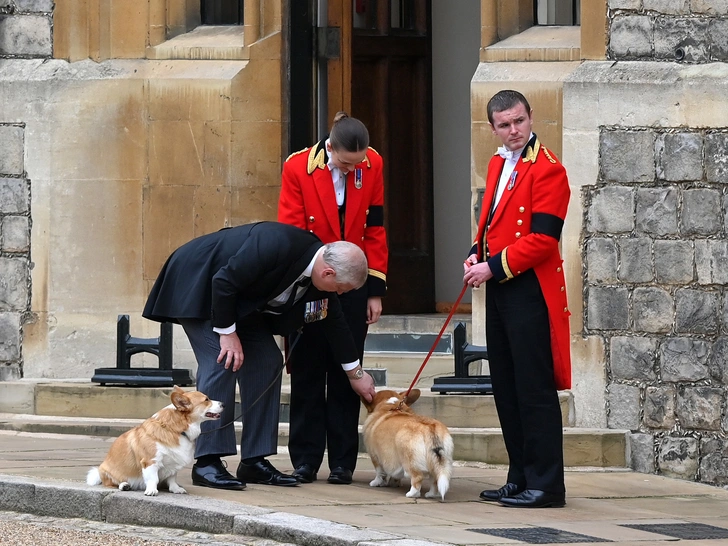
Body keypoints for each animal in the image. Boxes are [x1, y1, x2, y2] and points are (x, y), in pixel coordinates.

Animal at [86, 384, 222, 496]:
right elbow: (153, 478)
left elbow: (172, 478)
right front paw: (151, 490)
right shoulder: (150, 461)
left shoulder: (173, 463)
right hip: (106, 471)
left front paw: (175, 489)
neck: (176, 429)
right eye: (206, 400)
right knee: (112, 483)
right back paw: (124, 485)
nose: (223, 404)